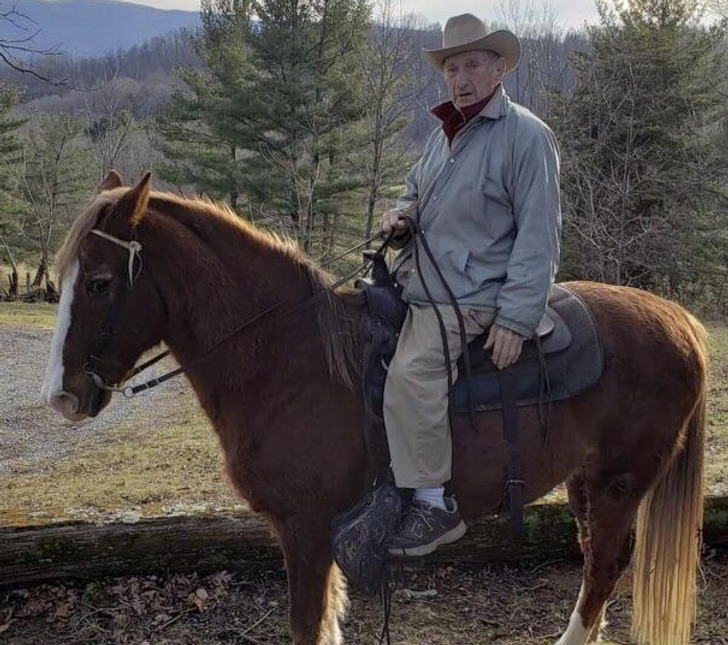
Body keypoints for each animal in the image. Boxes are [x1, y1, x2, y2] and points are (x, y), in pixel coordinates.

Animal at [41, 172, 704, 644]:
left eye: (99, 283)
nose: (61, 396)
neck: (290, 357)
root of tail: (680, 321)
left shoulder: (306, 529)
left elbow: (306, 627)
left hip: (619, 484)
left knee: (604, 567)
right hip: (585, 483)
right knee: (598, 561)